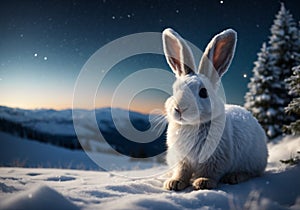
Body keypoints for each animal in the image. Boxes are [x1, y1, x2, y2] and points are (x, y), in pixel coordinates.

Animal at [163, 27, 268, 190]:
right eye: (175, 90)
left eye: (203, 92)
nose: (179, 109)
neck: (192, 125)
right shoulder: (182, 160)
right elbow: (181, 172)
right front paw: (174, 183)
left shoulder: (215, 158)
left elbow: (210, 171)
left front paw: (203, 182)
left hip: (253, 160)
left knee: (252, 173)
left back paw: (234, 177)